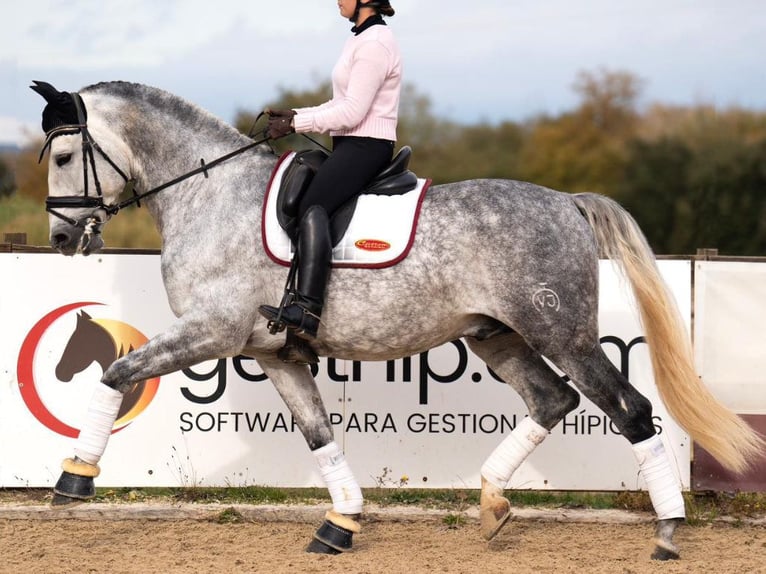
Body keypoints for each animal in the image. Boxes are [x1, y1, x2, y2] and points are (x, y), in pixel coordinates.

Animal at [31, 80, 763, 559]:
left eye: (65, 157)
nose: (62, 240)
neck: (210, 195)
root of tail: (567, 202)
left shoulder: (212, 331)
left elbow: (116, 373)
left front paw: (73, 479)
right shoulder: (272, 352)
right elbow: (319, 435)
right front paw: (342, 523)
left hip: (565, 335)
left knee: (630, 410)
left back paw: (666, 533)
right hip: (495, 337)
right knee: (552, 401)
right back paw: (492, 504)